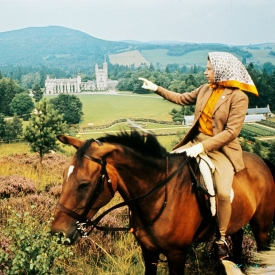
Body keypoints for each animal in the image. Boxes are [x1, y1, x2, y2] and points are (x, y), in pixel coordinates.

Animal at [51, 132, 275, 275]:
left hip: (261, 228)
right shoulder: (149, 252)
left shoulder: (176, 255)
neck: (158, 196)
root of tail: (262, 162)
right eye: (63, 176)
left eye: (84, 184)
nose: (58, 234)